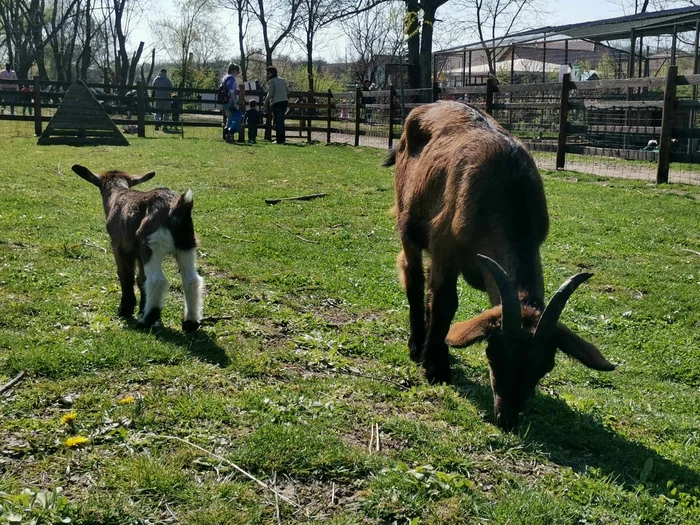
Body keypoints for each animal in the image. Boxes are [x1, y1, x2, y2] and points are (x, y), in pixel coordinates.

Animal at [388, 102, 612, 430]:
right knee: (413, 277)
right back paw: (418, 345)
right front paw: (436, 367)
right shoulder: (444, 248)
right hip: (408, 222)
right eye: (493, 354)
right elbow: (444, 304)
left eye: (545, 366)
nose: (508, 419)